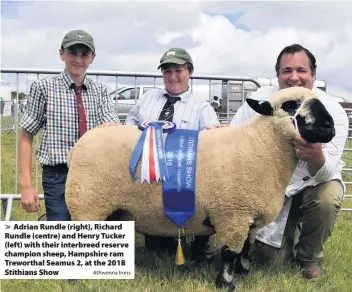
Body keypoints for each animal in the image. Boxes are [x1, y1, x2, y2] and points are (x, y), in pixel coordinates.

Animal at [65, 87, 336, 292]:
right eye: (291, 105)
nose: (329, 126)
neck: (260, 147)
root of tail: (78, 146)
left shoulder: (248, 220)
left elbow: (245, 250)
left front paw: (245, 273)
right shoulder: (233, 216)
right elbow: (229, 253)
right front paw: (226, 284)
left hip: (111, 209)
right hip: (87, 203)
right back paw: (76, 278)